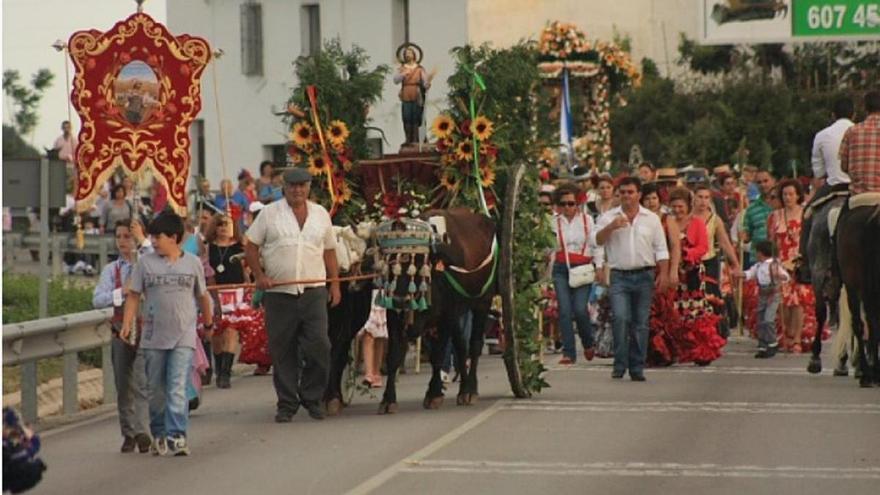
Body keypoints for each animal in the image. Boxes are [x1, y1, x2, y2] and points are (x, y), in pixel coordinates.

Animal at [374, 208, 496, 414]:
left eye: (419, 265)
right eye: (391, 264)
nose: (400, 300)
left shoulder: (445, 317)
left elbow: (438, 354)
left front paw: (434, 394)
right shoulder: (394, 317)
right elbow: (394, 356)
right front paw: (388, 399)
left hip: (482, 302)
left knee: (474, 345)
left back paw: (470, 390)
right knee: (461, 346)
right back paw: (463, 389)